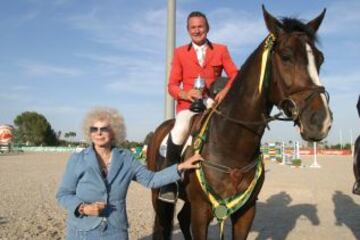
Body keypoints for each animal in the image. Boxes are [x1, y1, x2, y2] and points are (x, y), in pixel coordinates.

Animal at [147, 6, 332, 240]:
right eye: (286, 56)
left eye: (320, 59)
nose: (320, 121)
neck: (231, 144)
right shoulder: (202, 211)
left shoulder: (246, 211)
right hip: (158, 195)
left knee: (182, 218)